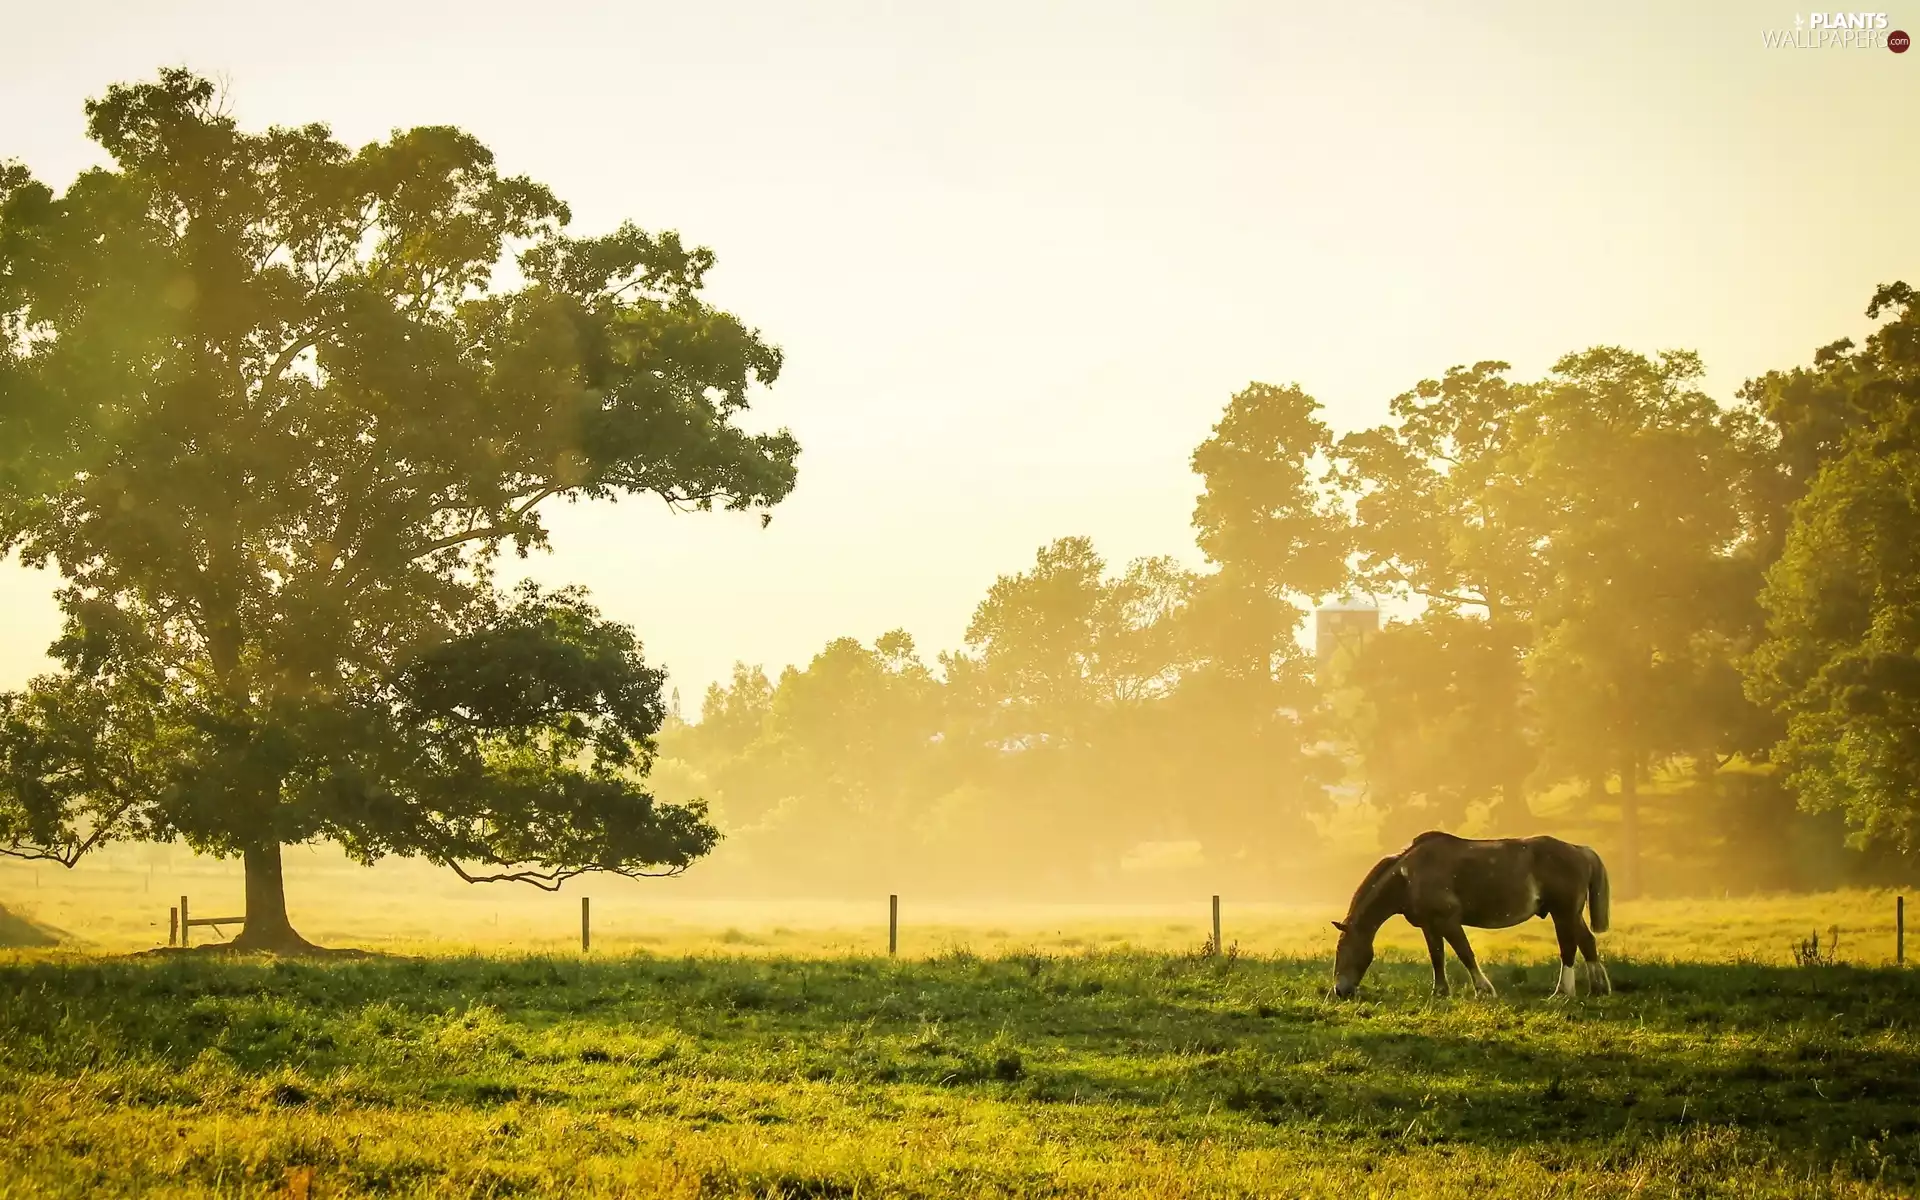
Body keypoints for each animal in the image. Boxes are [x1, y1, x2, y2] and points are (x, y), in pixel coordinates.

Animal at [1331, 831, 1611, 999]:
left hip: (1562, 912)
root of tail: (1579, 850)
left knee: (1568, 948)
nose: (1340, 991)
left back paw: (1563, 992)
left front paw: (1484, 990)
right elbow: (1437, 957)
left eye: (1343, 950)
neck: (1408, 875)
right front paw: (1440, 992)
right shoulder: (1429, 925)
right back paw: (1598, 988)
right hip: (1572, 913)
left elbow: (1465, 953)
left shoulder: (1448, 921)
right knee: (1587, 942)